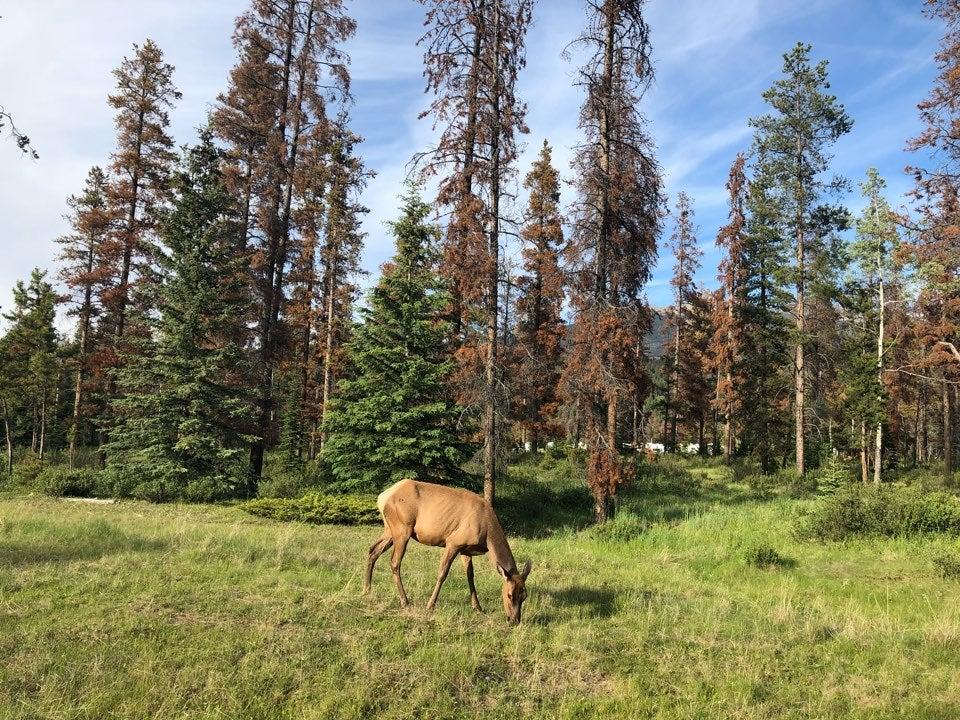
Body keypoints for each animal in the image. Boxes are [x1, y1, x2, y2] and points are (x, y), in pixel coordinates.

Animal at [366, 478, 532, 624]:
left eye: (524, 595)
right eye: (509, 595)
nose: (514, 620)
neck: (487, 535)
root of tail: (382, 497)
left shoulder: (466, 549)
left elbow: (470, 575)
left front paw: (477, 607)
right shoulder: (453, 542)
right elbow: (442, 573)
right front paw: (430, 606)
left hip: (390, 529)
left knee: (372, 550)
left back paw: (367, 589)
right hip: (402, 528)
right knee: (394, 562)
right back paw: (404, 601)